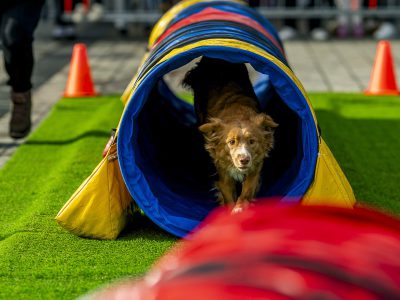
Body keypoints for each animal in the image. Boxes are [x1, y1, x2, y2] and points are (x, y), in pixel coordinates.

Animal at [182, 56, 278, 213]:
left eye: (252, 141)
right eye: (231, 142)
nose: (244, 160)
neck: (238, 113)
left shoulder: (255, 167)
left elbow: (246, 191)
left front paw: (239, 209)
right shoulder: (222, 172)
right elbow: (227, 195)